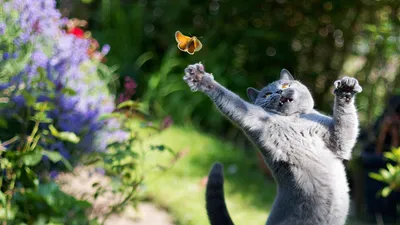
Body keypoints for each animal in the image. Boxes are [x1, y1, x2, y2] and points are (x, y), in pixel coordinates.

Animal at [183, 62, 364, 225]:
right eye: (267, 95)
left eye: (285, 84)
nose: (279, 90)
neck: (293, 119)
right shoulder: (256, 120)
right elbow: (234, 101)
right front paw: (200, 78)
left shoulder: (338, 141)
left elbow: (345, 122)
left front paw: (346, 89)